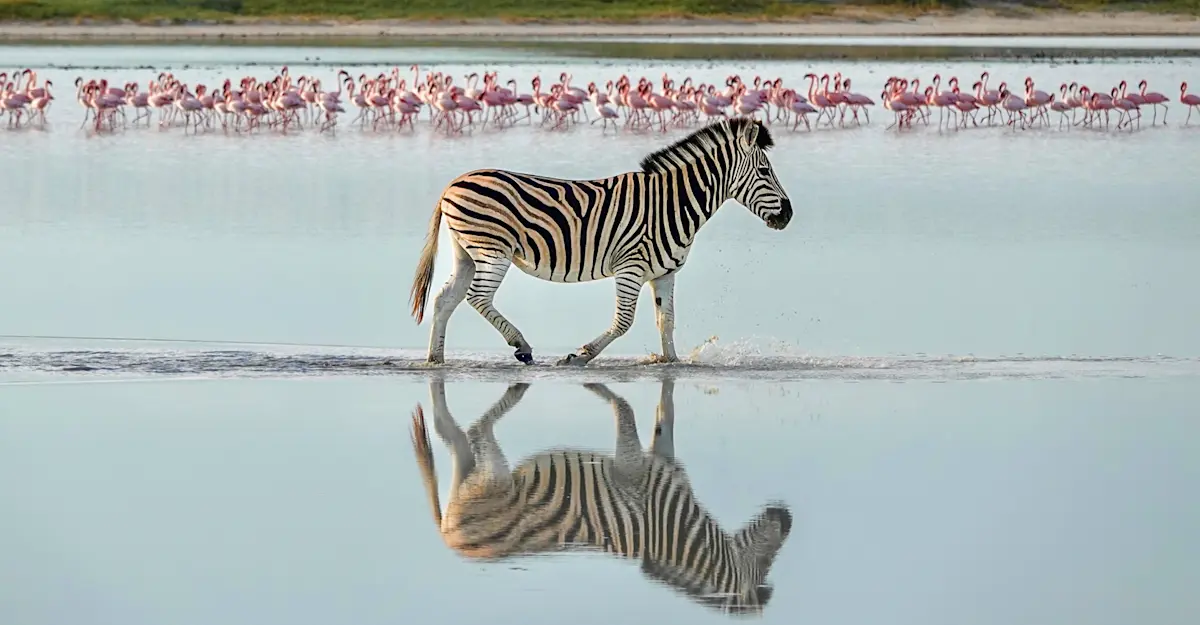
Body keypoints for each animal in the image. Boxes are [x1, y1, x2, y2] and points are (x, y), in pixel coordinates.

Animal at [408, 117, 793, 366]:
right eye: (764, 172)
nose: (788, 215)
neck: (672, 202)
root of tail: (453, 183)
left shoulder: (664, 273)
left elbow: (666, 321)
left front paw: (671, 362)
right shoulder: (631, 267)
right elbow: (624, 322)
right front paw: (580, 355)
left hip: (467, 253)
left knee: (445, 300)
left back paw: (435, 360)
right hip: (493, 250)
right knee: (477, 297)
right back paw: (521, 345)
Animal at [409, 377, 794, 616]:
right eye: (766, 562)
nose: (787, 518)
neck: (677, 530)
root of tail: (448, 537)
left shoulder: (662, 461)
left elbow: (663, 416)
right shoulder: (633, 466)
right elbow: (623, 409)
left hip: (469, 482)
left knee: (457, 446)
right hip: (495, 477)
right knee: (475, 433)